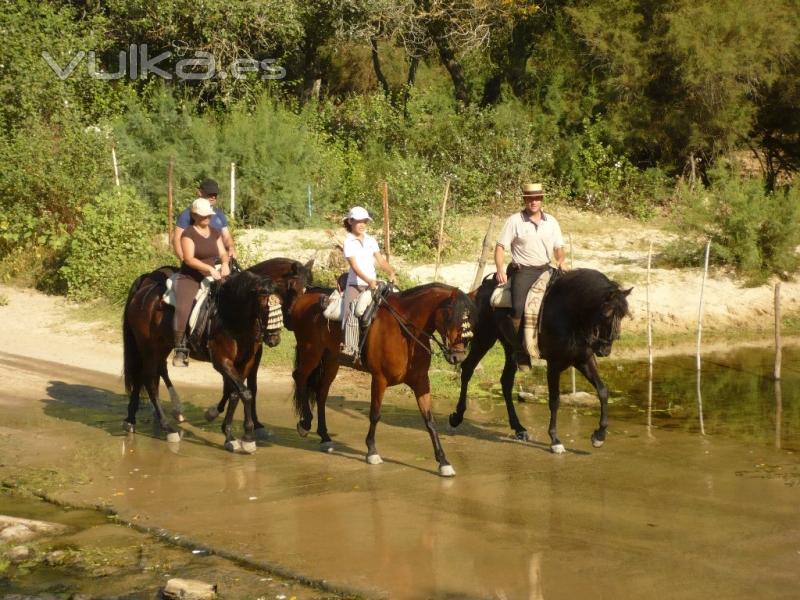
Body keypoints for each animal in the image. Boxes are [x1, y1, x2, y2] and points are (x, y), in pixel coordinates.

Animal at [123, 270, 286, 452]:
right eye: (265, 306)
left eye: (281, 304)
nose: (274, 339)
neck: (230, 316)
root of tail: (144, 290)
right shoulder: (222, 361)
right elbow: (245, 393)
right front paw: (248, 438)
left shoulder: (245, 363)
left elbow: (236, 393)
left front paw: (228, 434)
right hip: (149, 348)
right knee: (150, 382)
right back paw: (168, 428)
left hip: (160, 348)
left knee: (144, 376)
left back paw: (131, 420)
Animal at [290, 284, 476, 476]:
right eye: (451, 316)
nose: (458, 357)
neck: (406, 333)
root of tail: (304, 298)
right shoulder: (380, 379)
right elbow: (375, 414)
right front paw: (372, 451)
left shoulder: (421, 382)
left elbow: (429, 421)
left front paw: (443, 462)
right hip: (311, 352)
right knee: (299, 377)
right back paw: (305, 423)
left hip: (331, 361)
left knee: (321, 394)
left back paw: (324, 437)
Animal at [450, 270, 632, 452]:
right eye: (606, 314)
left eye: (623, 315)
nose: (605, 350)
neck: (569, 314)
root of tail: (479, 290)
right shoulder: (554, 364)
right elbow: (554, 400)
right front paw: (555, 440)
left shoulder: (584, 359)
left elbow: (603, 391)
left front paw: (599, 436)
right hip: (484, 338)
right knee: (467, 369)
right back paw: (457, 416)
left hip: (510, 348)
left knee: (506, 382)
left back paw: (519, 428)